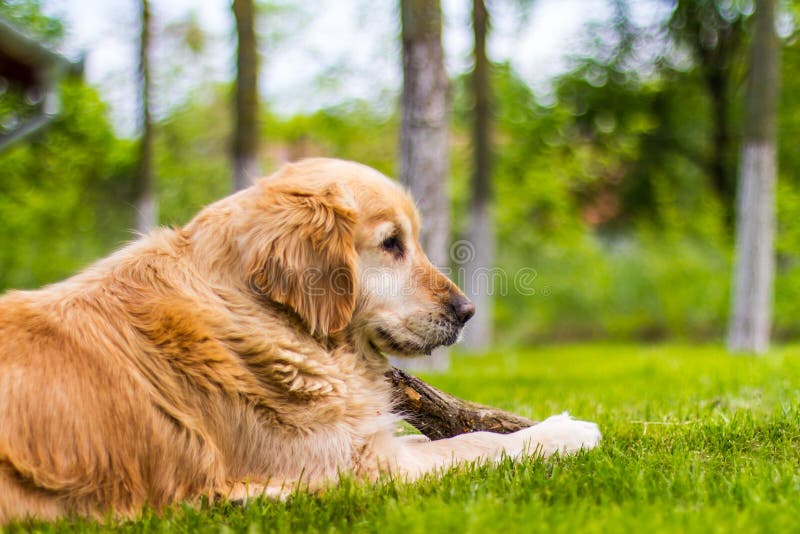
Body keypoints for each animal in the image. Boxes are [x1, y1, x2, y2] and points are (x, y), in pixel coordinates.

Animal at [0, 158, 600, 524]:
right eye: (392, 243)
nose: (467, 312)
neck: (269, 313)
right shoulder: (360, 469)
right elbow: (473, 443)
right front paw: (566, 431)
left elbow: (444, 434)